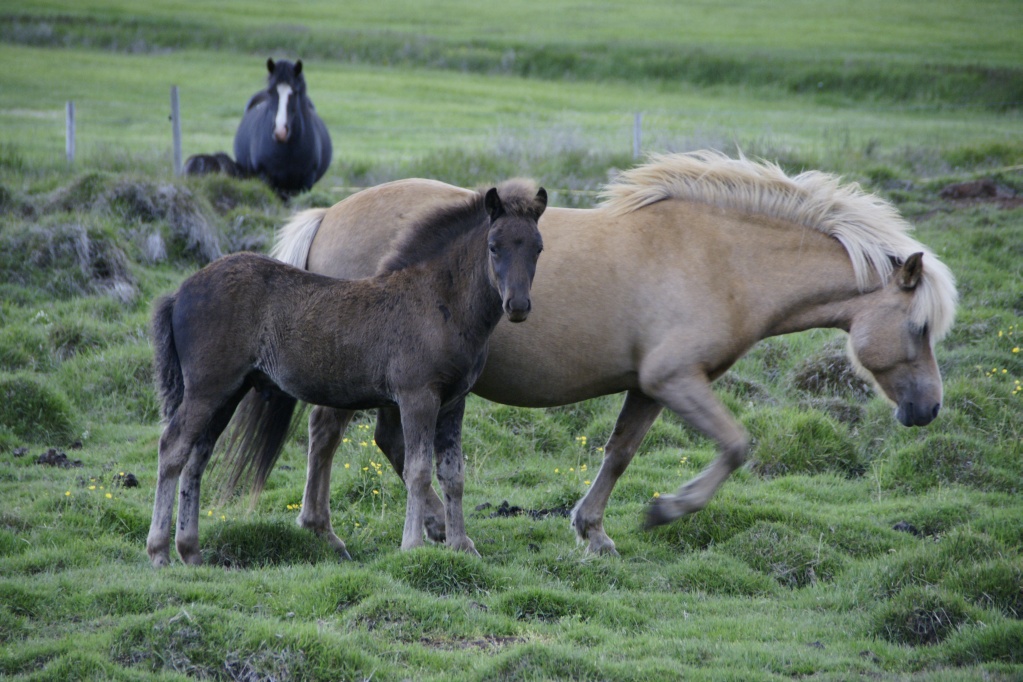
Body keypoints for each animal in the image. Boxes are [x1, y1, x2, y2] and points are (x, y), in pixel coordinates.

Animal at [145, 181, 548, 567]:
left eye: (538, 248)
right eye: (493, 247)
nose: (517, 305)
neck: (438, 301)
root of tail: (180, 293)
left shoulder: (453, 401)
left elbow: (453, 474)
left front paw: (462, 545)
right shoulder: (417, 396)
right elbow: (418, 472)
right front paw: (412, 547)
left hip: (229, 392)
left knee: (198, 456)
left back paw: (191, 551)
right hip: (207, 388)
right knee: (173, 448)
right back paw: (160, 551)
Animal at [272, 150, 958, 557]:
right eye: (920, 327)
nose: (928, 408)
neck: (725, 261)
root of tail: (329, 213)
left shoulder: (649, 386)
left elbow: (620, 453)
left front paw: (593, 531)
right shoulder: (678, 379)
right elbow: (735, 446)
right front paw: (665, 510)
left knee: (385, 441)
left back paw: (436, 527)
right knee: (327, 433)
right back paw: (326, 531)